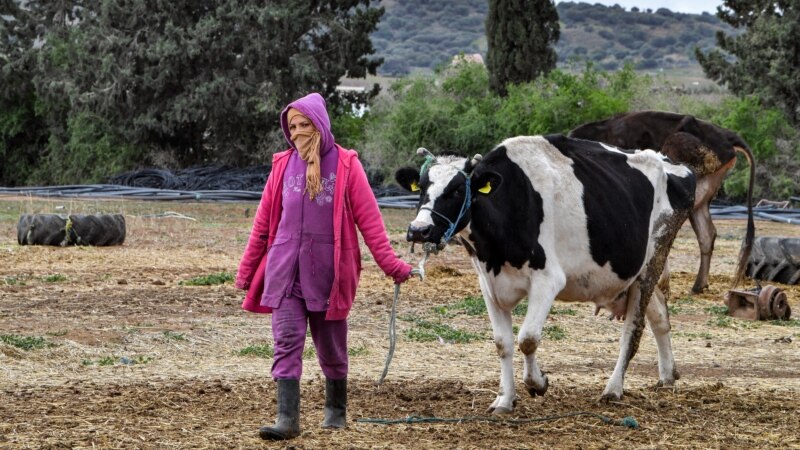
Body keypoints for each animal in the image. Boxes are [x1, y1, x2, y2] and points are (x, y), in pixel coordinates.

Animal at [396, 135, 696, 414]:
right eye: (421, 187)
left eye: (457, 189)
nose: (419, 229)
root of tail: (675, 164)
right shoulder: (488, 283)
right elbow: (503, 343)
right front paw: (505, 400)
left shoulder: (548, 280)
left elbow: (528, 339)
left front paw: (537, 383)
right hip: (638, 274)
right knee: (660, 316)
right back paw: (667, 375)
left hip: (653, 260)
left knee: (632, 331)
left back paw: (613, 388)